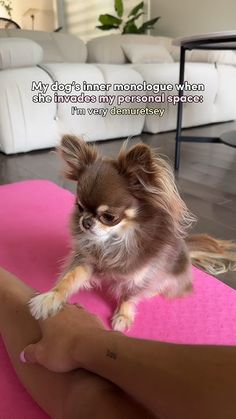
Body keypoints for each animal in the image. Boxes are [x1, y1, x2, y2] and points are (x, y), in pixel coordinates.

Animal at [29, 135, 236, 332]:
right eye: (79, 207)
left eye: (109, 217)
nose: (85, 222)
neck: (115, 241)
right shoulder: (87, 262)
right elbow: (69, 278)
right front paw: (50, 297)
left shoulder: (140, 276)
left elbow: (129, 296)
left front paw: (123, 316)